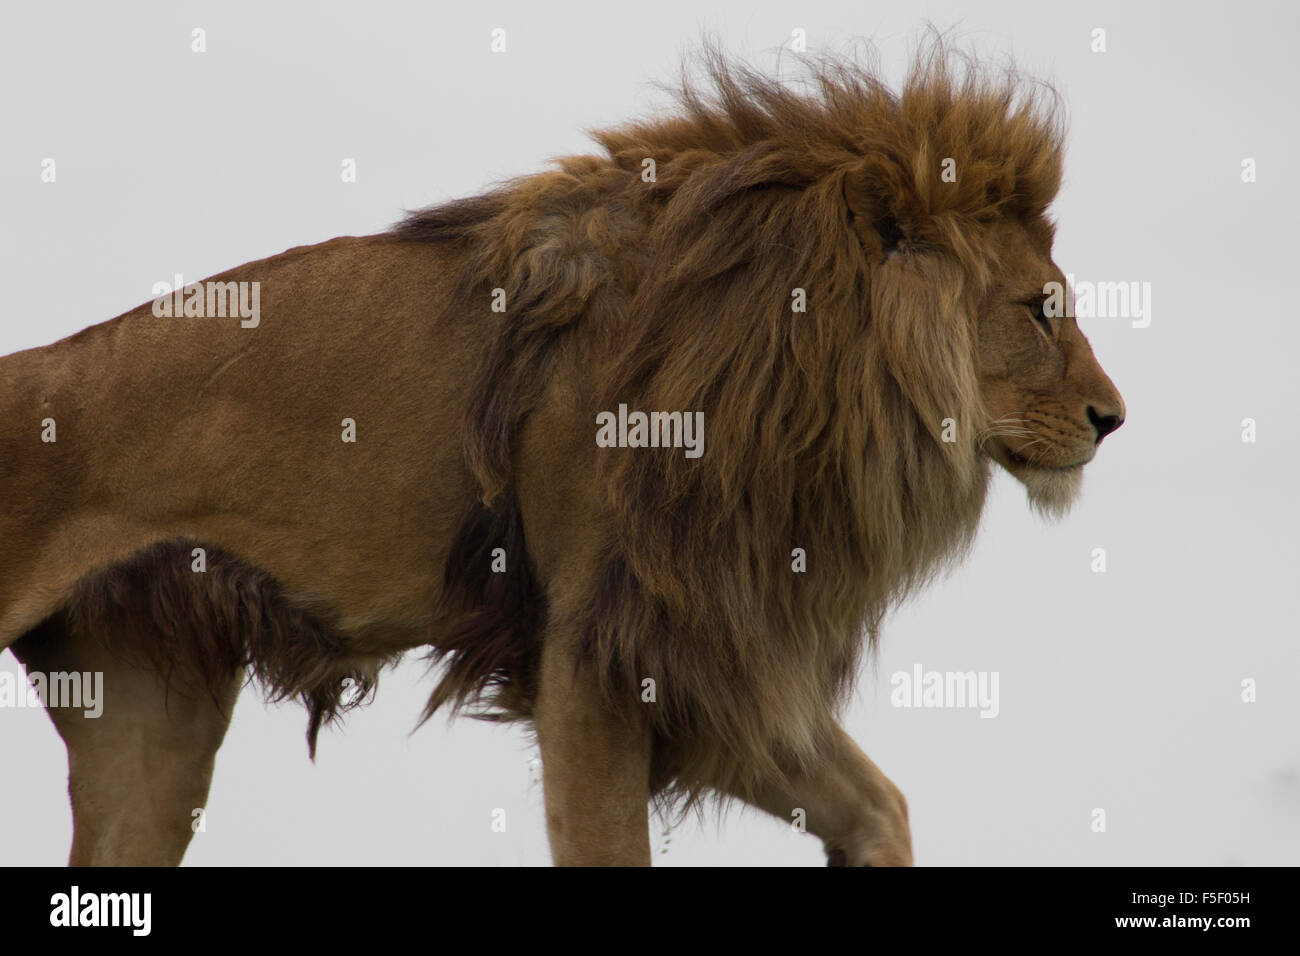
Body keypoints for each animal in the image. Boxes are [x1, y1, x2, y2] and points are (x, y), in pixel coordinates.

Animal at [0, 44, 1118, 868]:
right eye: (1039, 309)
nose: (1113, 419)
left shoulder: (707, 648)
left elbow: (879, 804)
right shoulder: (591, 646)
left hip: (148, 719)